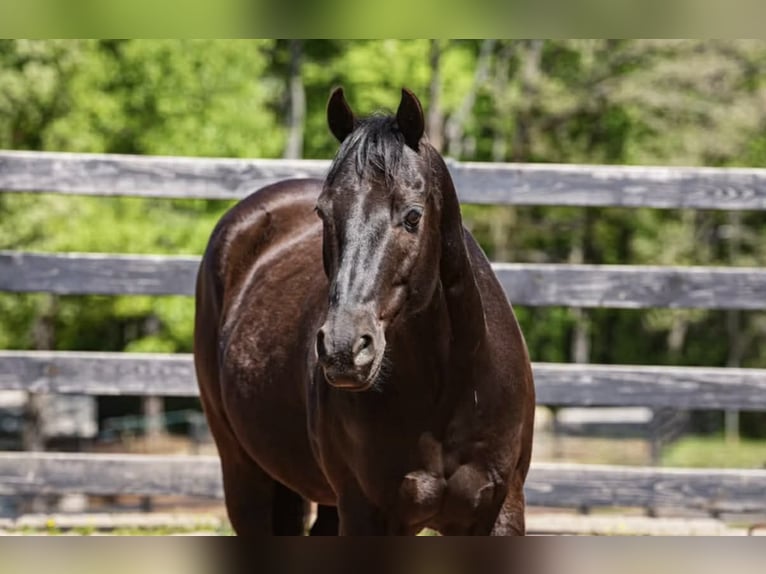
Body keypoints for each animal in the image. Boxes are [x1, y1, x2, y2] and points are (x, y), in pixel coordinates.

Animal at [193, 87, 535, 535]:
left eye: (412, 215)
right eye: (323, 213)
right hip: (246, 475)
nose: (343, 349)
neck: (451, 390)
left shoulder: (500, 511)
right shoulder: (366, 512)